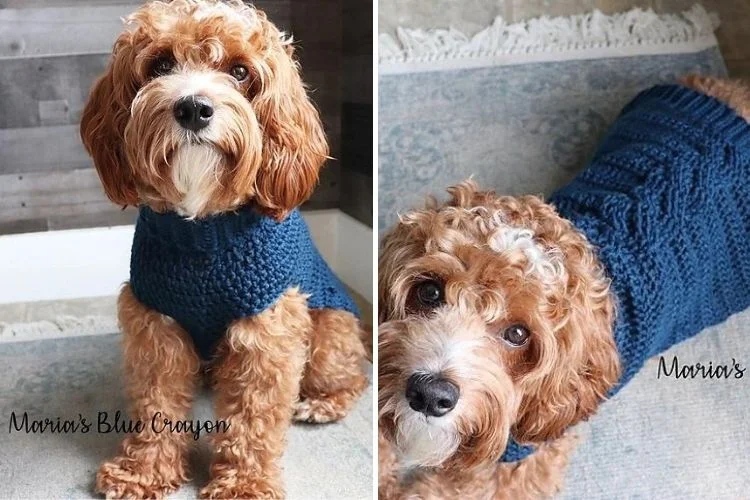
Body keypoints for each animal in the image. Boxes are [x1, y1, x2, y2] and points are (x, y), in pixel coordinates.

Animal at [78, 1, 368, 498]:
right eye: (161, 65)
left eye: (239, 71)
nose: (194, 108)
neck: (204, 231)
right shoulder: (156, 325)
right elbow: (156, 401)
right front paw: (143, 470)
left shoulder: (266, 330)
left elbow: (253, 417)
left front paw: (244, 483)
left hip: (330, 329)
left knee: (355, 375)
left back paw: (322, 403)